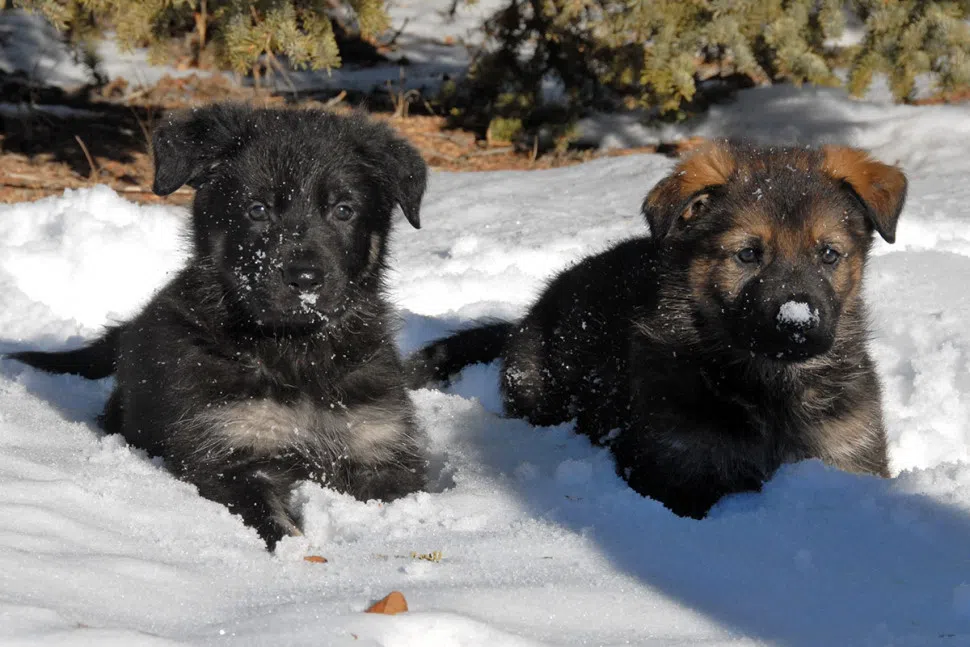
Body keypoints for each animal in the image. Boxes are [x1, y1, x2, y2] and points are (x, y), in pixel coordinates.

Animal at [8, 104, 428, 548]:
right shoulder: (229, 451)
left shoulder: (378, 444)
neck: (295, 350)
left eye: (344, 210)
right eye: (258, 210)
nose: (306, 279)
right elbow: (274, 520)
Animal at [404, 143, 904, 520]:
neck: (768, 388)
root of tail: (526, 319)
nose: (797, 327)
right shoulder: (677, 470)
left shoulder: (847, 452)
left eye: (829, 254)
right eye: (747, 255)